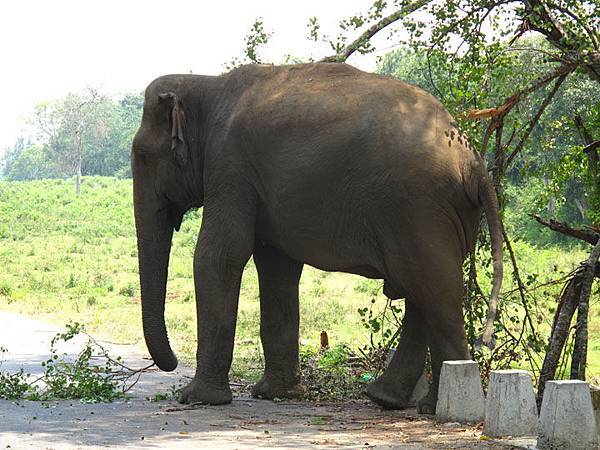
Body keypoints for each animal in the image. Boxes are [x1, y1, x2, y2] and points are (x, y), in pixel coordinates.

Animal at [131, 61, 502, 414]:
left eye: (143, 157)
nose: (171, 362)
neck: (208, 85)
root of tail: (473, 162)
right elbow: (277, 267)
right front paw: (276, 394)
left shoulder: (229, 164)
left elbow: (219, 256)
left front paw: (196, 399)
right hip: (440, 214)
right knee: (423, 289)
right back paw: (391, 399)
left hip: (418, 208)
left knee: (433, 288)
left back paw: (439, 405)